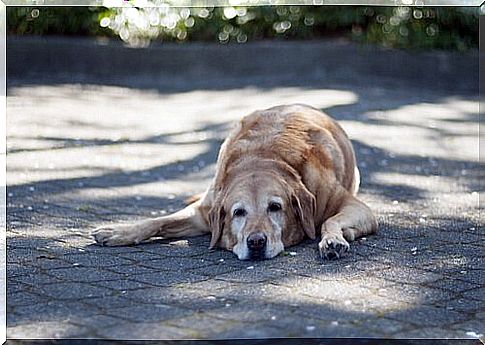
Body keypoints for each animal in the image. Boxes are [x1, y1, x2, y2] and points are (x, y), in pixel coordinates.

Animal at [91, 103, 378, 260]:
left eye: (275, 207)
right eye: (238, 212)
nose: (256, 242)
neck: (263, 158)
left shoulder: (356, 207)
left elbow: (330, 221)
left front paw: (332, 241)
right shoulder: (203, 213)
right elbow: (157, 221)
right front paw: (119, 231)